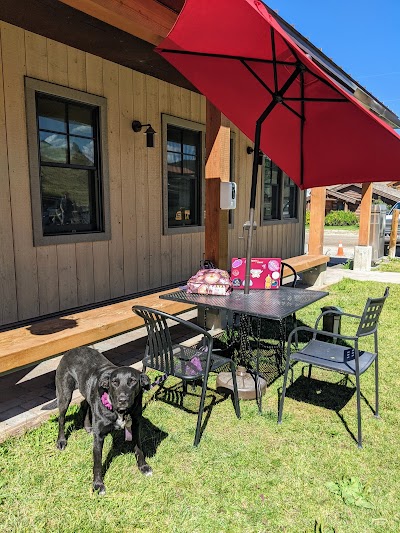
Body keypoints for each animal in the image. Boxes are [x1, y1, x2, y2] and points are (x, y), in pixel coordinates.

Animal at [54, 348, 152, 492]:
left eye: (133, 381)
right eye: (114, 382)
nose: (122, 400)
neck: (119, 412)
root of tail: (72, 350)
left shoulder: (135, 425)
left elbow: (139, 448)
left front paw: (143, 467)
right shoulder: (99, 437)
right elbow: (98, 463)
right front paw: (98, 484)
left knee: (86, 403)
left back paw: (88, 426)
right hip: (64, 395)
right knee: (61, 419)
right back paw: (61, 441)